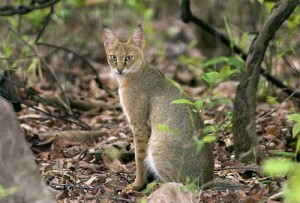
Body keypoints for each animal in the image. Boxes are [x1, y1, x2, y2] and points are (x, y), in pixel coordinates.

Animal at [102, 24, 214, 191]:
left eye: (128, 57)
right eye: (113, 57)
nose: (119, 69)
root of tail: (208, 181)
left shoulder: (140, 124)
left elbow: (139, 156)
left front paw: (137, 185)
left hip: (156, 145)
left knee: (180, 185)